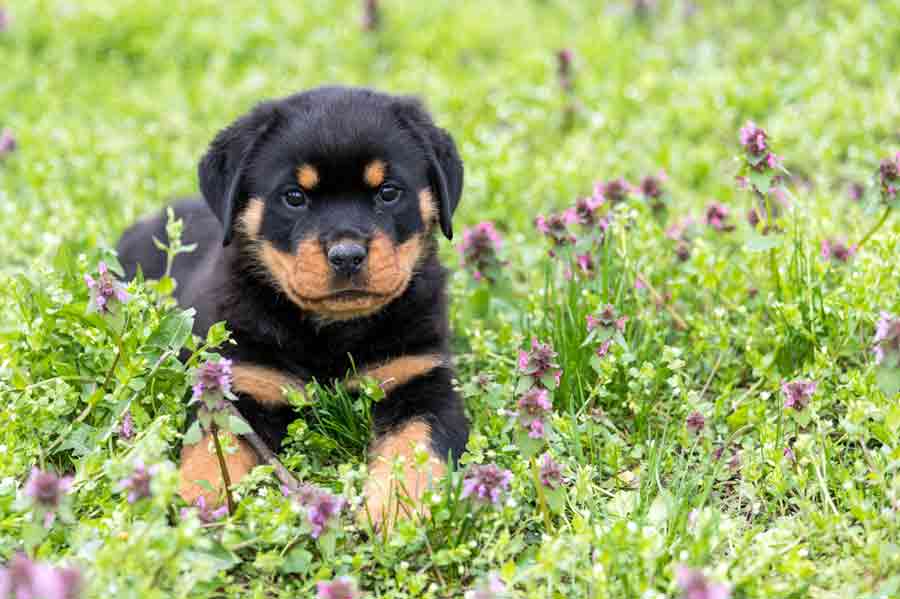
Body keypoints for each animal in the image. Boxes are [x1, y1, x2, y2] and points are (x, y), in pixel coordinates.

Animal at [116, 86, 468, 528]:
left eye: (388, 192)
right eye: (294, 197)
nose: (347, 255)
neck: (331, 334)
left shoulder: (419, 377)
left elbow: (415, 445)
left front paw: (396, 508)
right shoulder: (241, 382)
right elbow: (212, 449)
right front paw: (203, 503)